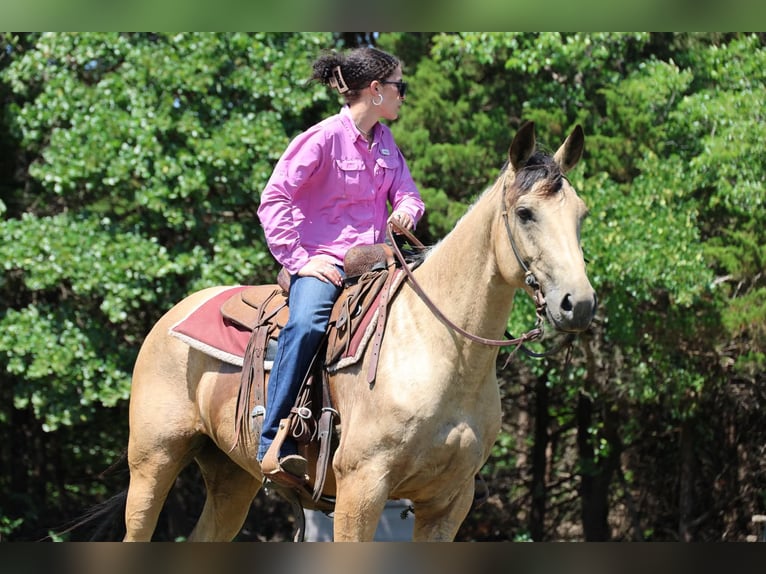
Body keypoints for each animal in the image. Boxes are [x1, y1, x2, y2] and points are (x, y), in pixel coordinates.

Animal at [122, 121, 596, 542]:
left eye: (581, 215)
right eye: (525, 213)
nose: (578, 303)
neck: (441, 350)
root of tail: (173, 316)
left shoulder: (449, 502)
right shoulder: (361, 489)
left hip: (231, 476)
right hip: (152, 461)